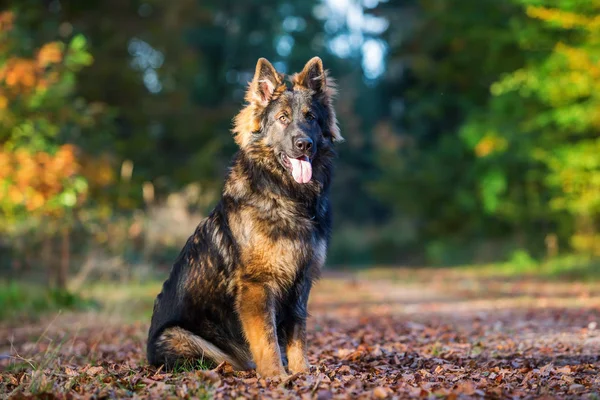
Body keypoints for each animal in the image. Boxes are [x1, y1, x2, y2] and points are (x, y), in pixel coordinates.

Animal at [146, 57, 342, 378]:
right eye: (283, 118)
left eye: (311, 117)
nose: (304, 144)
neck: (287, 196)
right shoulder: (257, 286)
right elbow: (267, 338)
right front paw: (276, 376)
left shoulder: (300, 284)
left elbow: (297, 337)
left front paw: (301, 373)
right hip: (181, 336)